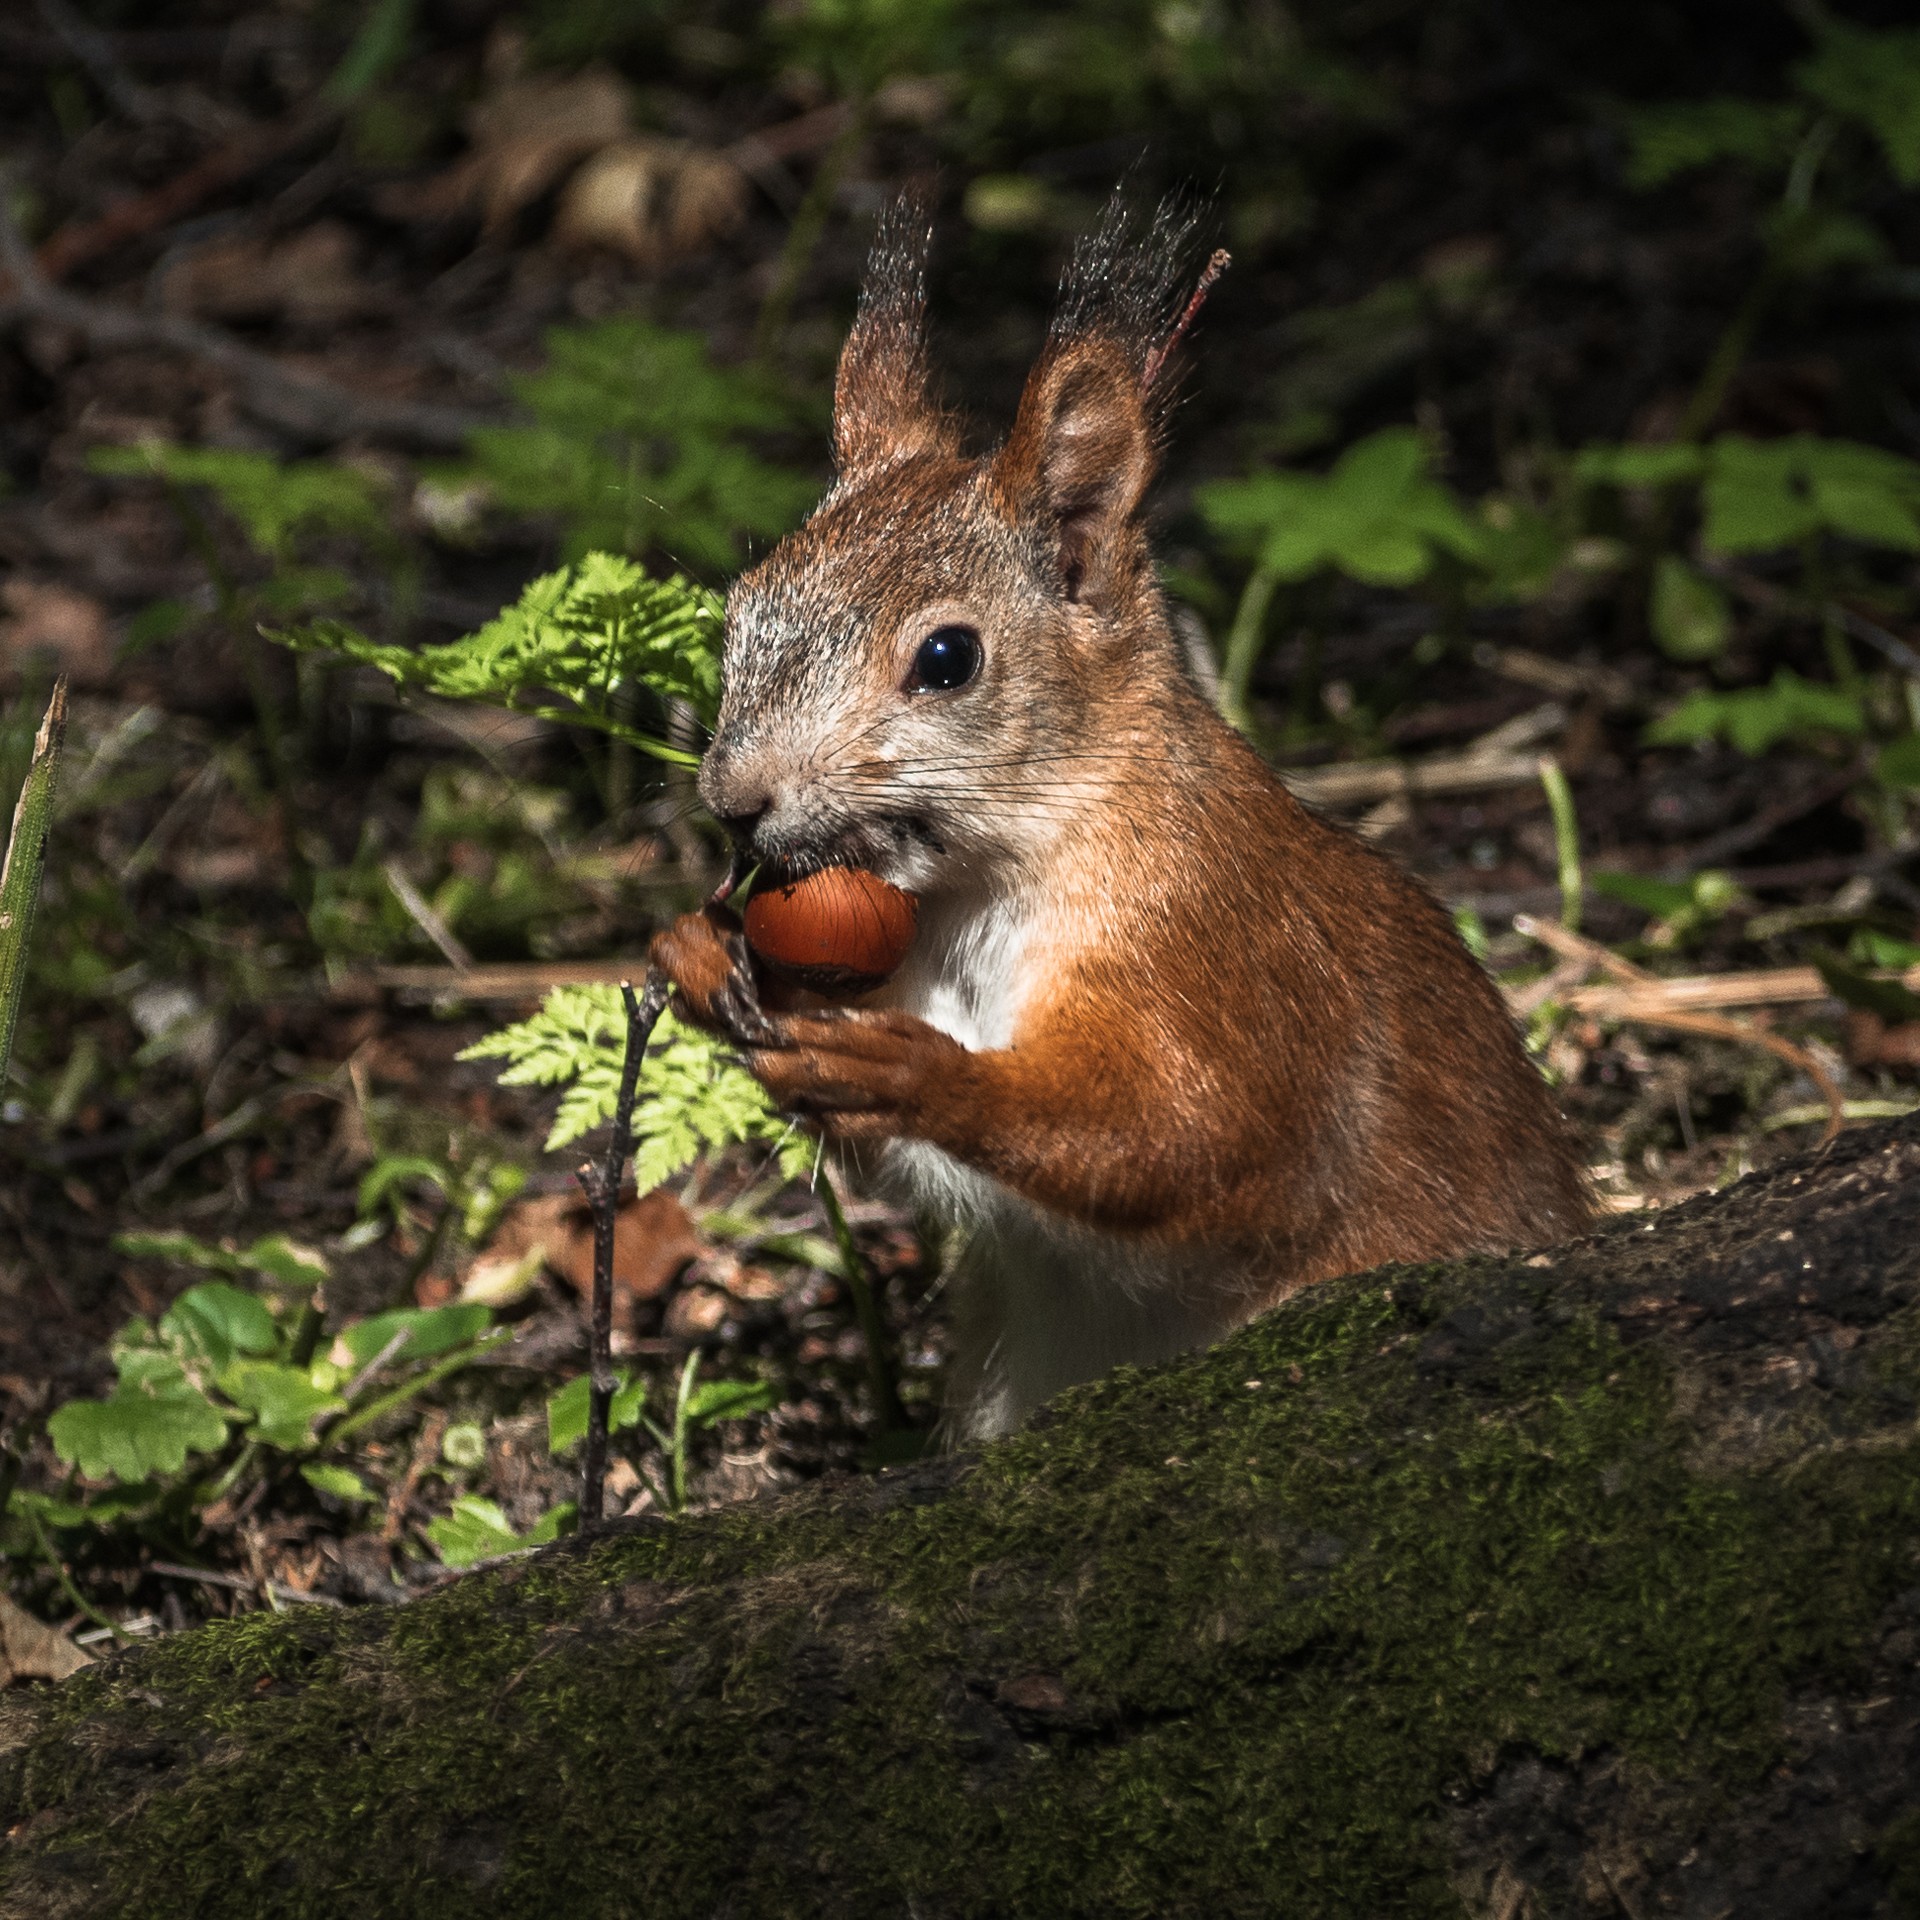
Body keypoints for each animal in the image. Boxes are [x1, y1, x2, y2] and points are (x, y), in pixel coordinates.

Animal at [656, 198, 1589, 1443]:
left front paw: (919, 1071)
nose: (734, 801)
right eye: (742, 610)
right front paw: (701, 956)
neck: (983, 890)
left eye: (947, 659)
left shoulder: (1221, 958)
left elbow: (1190, 1135)